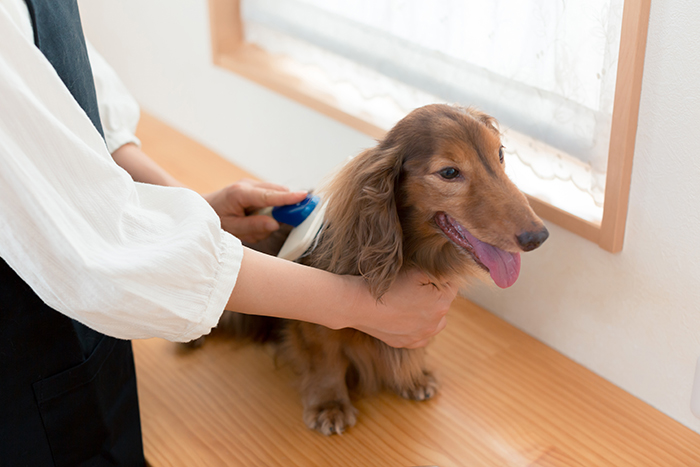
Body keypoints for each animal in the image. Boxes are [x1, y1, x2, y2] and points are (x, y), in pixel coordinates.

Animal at [216, 102, 548, 436]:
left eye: (500, 154)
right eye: (449, 172)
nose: (538, 237)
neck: (412, 254)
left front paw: (413, 377)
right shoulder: (314, 321)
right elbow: (325, 358)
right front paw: (329, 403)